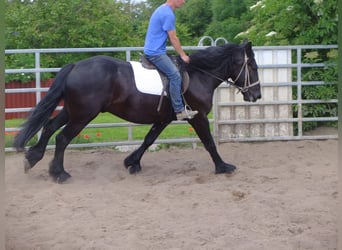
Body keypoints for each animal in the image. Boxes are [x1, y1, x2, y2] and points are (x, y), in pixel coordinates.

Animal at [12, 40, 260, 183]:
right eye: (252, 66)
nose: (256, 95)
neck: (199, 74)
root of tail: (75, 66)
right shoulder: (197, 117)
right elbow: (209, 142)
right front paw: (223, 167)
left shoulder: (164, 118)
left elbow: (149, 139)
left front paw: (132, 162)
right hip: (83, 115)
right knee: (62, 137)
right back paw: (59, 173)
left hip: (72, 111)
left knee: (49, 127)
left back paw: (33, 159)